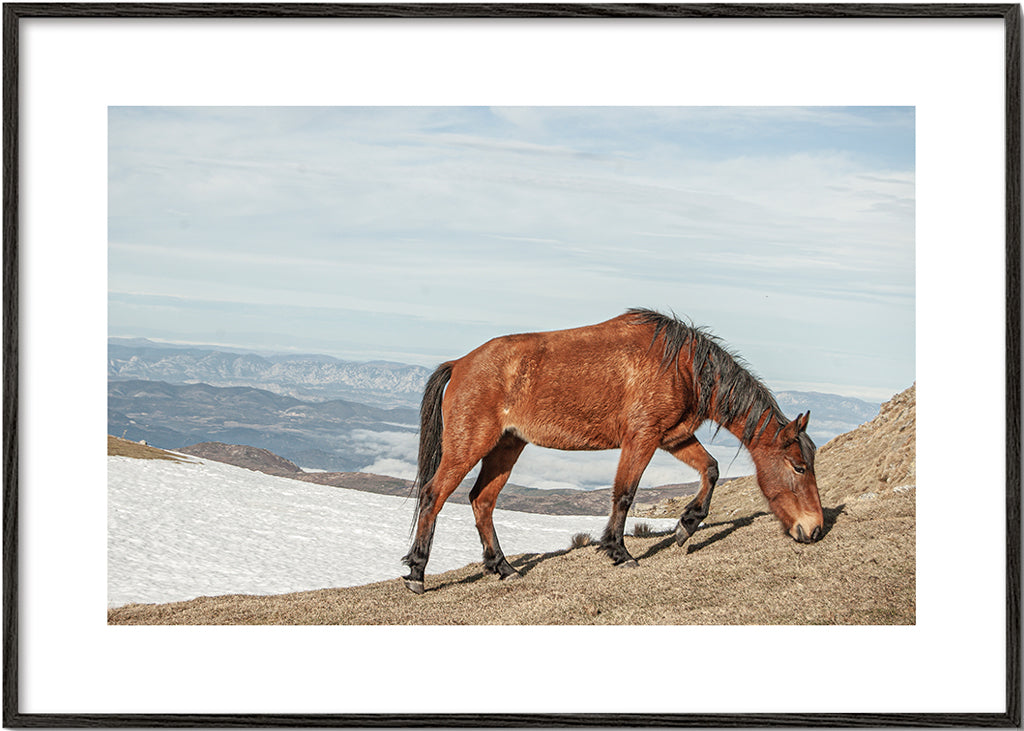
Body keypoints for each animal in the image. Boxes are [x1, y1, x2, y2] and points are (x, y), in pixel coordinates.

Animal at [401, 308, 823, 594]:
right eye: (799, 467)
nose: (815, 529)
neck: (681, 364)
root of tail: (460, 364)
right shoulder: (642, 438)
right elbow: (624, 494)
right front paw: (620, 553)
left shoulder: (673, 437)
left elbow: (712, 469)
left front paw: (686, 526)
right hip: (469, 445)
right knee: (435, 495)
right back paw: (417, 573)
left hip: (507, 445)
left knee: (482, 500)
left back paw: (503, 567)